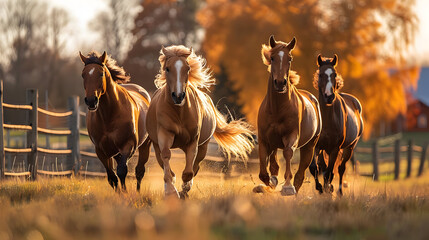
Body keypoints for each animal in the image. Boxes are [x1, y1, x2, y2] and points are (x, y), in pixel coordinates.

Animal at [79, 51, 151, 192]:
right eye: (83, 74)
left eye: (101, 73)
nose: (91, 101)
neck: (109, 115)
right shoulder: (101, 151)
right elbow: (111, 177)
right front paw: (120, 194)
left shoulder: (128, 146)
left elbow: (122, 171)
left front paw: (125, 194)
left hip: (145, 145)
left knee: (139, 171)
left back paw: (138, 192)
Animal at [147, 45, 254, 199]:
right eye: (167, 68)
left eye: (187, 68)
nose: (178, 96)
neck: (179, 112)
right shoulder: (164, 134)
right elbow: (167, 157)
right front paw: (171, 192)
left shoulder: (193, 141)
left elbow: (189, 171)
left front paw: (184, 189)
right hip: (156, 146)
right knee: (164, 163)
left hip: (203, 146)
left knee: (196, 166)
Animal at [252, 36, 320, 197]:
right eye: (272, 57)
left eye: (289, 59)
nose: (280, 83)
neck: (277, 109)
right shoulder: (264, 139)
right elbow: (264, 173)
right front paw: (269, 184)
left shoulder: (291, 135)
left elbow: (288, 153)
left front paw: (287, 187)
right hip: (274, 143)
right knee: (274, 163)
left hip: (309, 146)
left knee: (300, 175)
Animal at [310, 54, 362, 195]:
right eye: (321, 74)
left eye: (334, 74)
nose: (329, 96)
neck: (327, 118)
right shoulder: (317, 146)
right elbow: (315, 168)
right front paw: (320, 188)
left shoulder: (334, 149)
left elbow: (329, 172)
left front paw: (328, 189)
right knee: (324, 168)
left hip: (349, 148)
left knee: (340, 168)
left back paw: (339, 192)